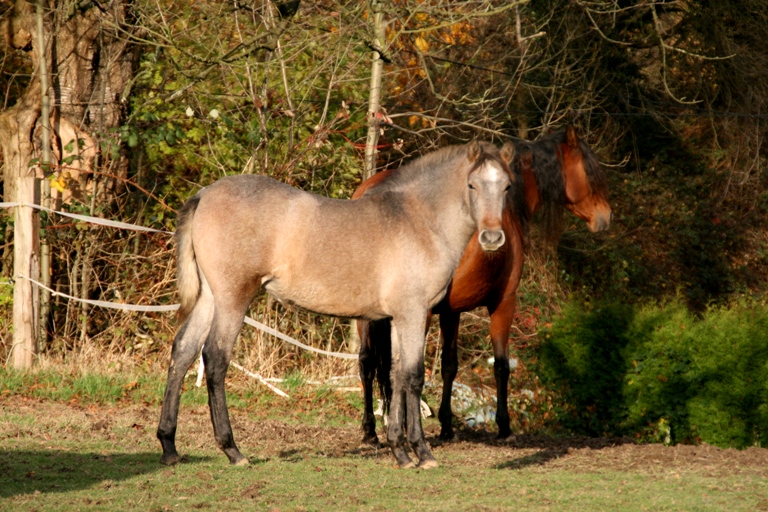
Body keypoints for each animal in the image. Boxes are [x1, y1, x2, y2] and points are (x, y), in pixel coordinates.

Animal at [158, 139, 524, 468]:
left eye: (507, 187)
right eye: (472, 185)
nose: (493, 238)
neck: (418, 221)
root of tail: (204, 194)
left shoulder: (397, 318)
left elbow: (395, 376)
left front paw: (400, 451)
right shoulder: (414, 314)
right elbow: (413, 376)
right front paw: (422, 452)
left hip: (210, 297)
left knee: (183, 351)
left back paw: (169, 445)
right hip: (233, 298)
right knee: (215, 358)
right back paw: (232, 450)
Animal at [354, 126, 612, 442]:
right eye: (589, 170)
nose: (606, 216)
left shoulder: (451, 311)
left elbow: (449, 366)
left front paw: (447, 425)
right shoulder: (504, 302)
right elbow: (501, 366)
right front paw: (504, 425)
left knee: (367, 362)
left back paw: (371, 430)